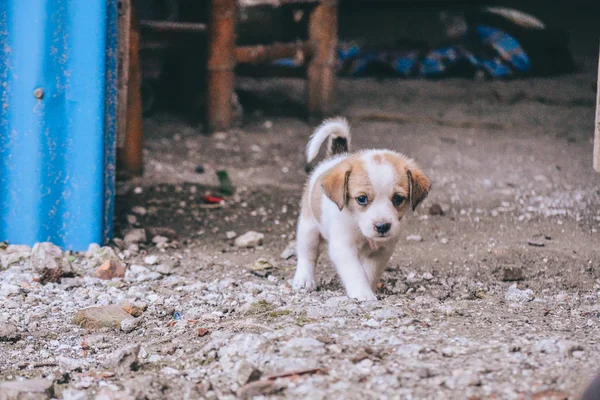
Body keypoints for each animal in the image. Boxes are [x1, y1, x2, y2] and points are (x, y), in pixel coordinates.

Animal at [292, 118, 428, 300]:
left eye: (398, 199)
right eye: (362, 199)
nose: (382, 227)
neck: (360, 229)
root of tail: (336, 156)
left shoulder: (381, 251)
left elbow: (369, 272)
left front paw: (368, 289)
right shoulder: (343, 247)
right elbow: (355, 272)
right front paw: (362, 293)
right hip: (308, 228)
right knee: (307, 254)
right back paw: (304, 280)